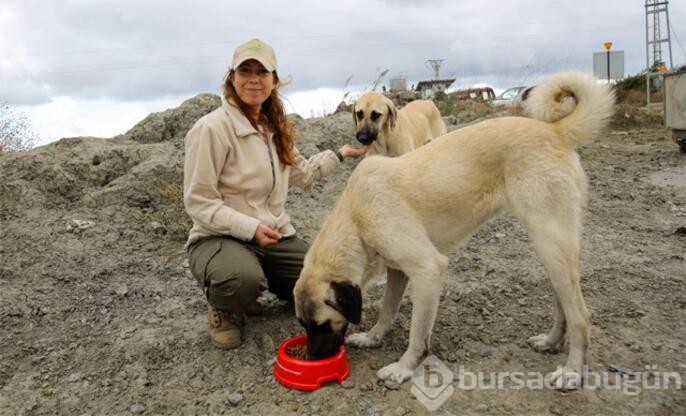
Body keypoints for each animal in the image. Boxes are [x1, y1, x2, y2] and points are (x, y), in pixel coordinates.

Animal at [292, 70, 616, 390]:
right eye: (303, 325)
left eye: (322, 325)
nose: (312, 357)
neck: (356, 216)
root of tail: (556, 130)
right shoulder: (397, 271)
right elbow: (388, 309)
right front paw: (373, 337)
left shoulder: (428, 270)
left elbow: (417, 333)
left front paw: (404, 367)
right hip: (551, 252)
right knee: (563, 306)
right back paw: (551, 342)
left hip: (551, 244)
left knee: (581, 317)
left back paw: (572, 372)